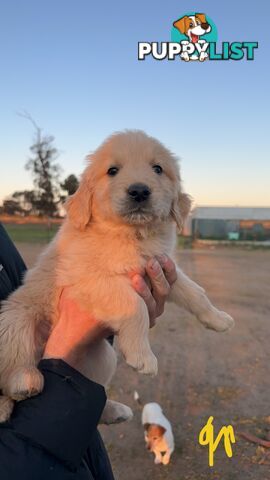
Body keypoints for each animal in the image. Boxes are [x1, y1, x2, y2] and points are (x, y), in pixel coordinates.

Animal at [0, 129, 233, 422]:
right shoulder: (89, 280)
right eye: (112, 170)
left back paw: (116, 411)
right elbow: (136, 306)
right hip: (16, 320)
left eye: (158, 168)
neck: (131, 234)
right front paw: (143, 356)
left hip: (103, 357)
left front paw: (218, 318)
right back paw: (23, 382)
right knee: (11, 374)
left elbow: (195, 292)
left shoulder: (162, 267)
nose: (139, 191)